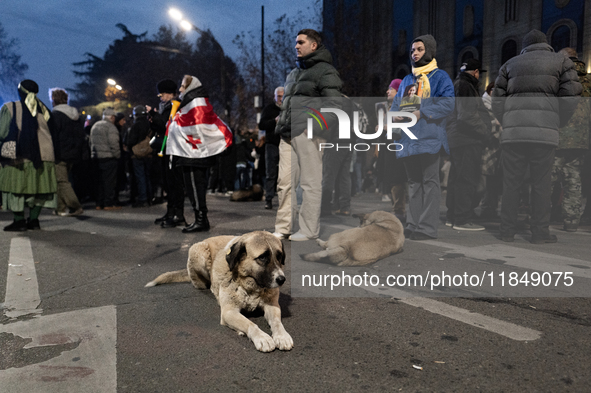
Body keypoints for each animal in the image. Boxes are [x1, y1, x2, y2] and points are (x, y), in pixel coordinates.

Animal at [143, 230, 292, 352]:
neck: (249, 285)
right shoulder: (229, 312)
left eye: (279, 257)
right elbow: (250, 324)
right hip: (198, 252)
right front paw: (262, 337)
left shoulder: (272, 306)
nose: (282, 279)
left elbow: (277, 322)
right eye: (262, 257)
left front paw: (282, 336)